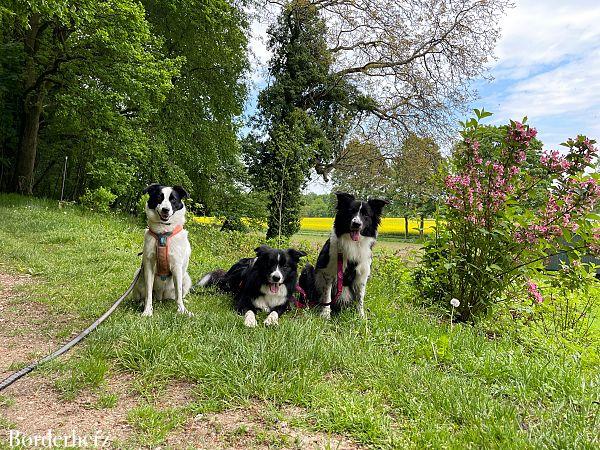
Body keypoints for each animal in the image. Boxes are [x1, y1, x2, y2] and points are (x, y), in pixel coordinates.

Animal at [132, 183, 193, 316]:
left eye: (173, 199)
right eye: (159, 197)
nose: (165, 209)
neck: (163, 232)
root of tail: (162, 296)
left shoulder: (176, 266)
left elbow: (179, 292)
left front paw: (182, 310)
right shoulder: (148, 265)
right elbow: (148, 293)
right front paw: (147, 311)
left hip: (186, 277)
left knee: (178, 295)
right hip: (138, 275)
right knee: (142, 295)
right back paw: (141, 303)